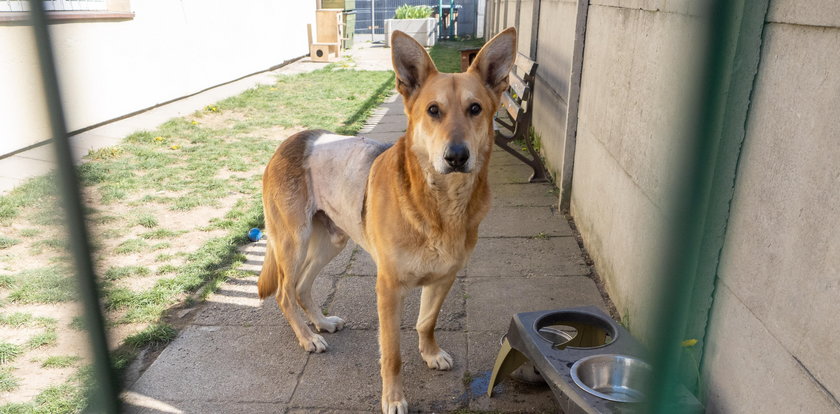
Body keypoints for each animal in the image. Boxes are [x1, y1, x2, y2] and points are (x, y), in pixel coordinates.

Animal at [258, 28, 520, 414]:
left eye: (475, 109)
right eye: (433, 111)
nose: (456, 157)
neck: (441, 205)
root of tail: (291, 139)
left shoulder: (443, 279)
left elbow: (427, 322)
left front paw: (430, 354)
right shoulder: (388, 290)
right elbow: (393, 354)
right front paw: (393, 399)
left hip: (333, 240)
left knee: (303, 287)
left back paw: (321, 323)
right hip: (293, 242)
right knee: (285, 293)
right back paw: (307, 337)